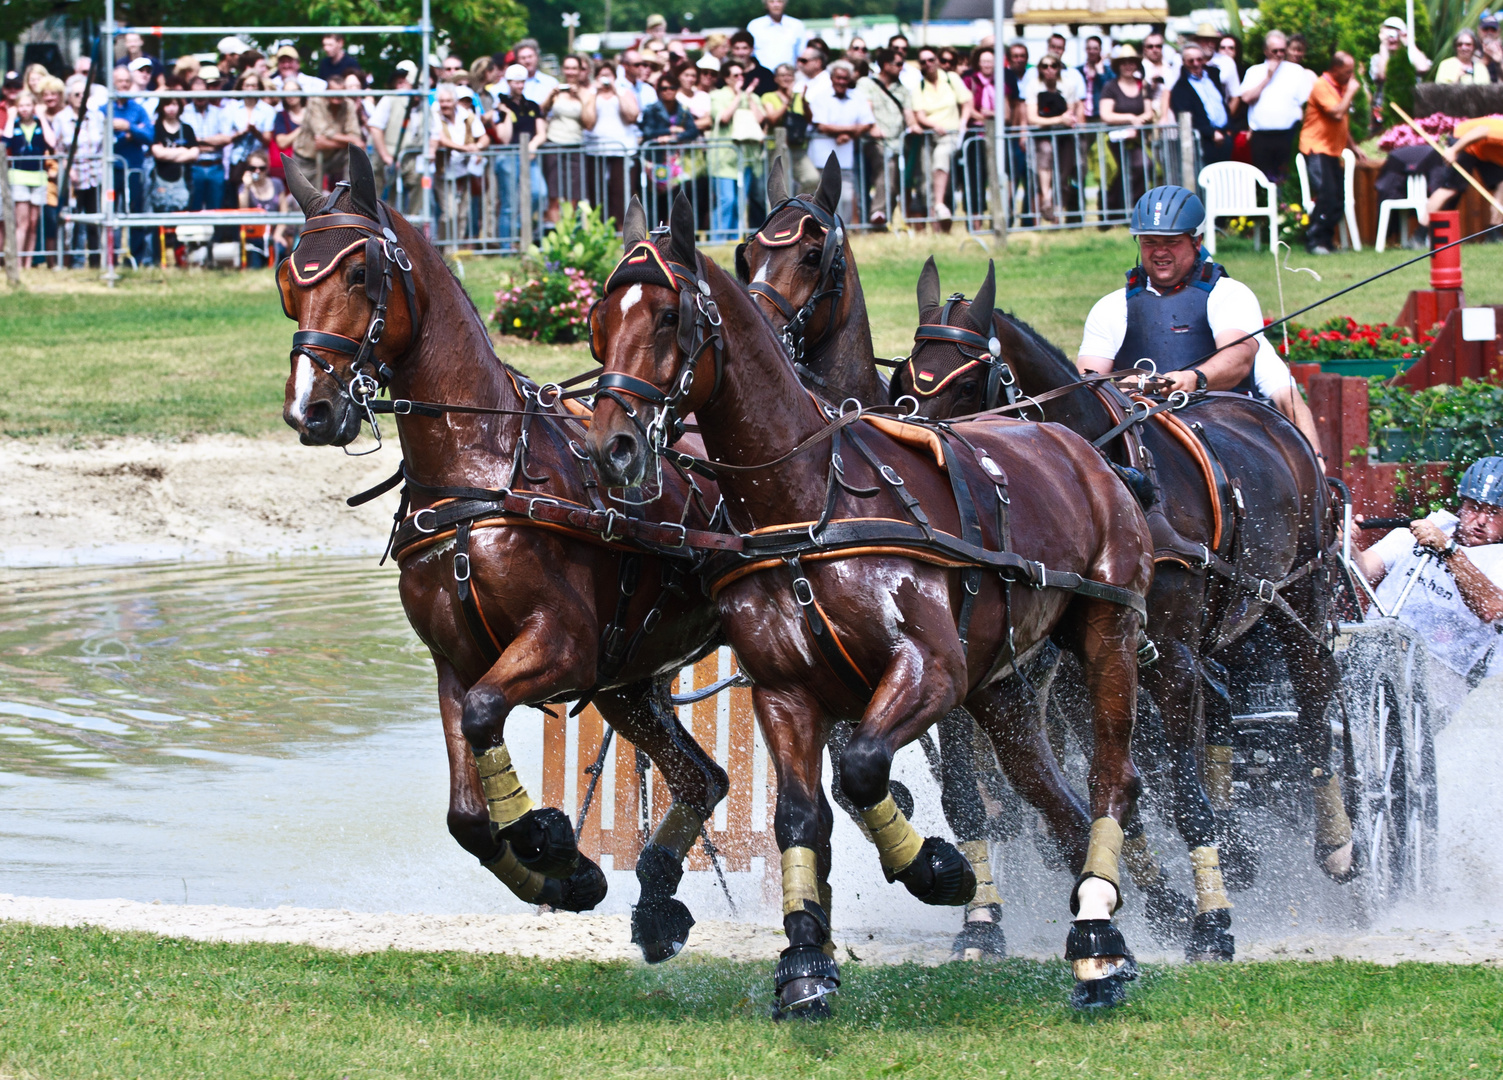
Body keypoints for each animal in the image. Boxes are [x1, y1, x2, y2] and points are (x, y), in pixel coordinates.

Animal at [279, 145, 736, 961]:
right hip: (628, 682)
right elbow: (466, 811)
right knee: (702, 779)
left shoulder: (562, 644)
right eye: (286, 280)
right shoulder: (455, 660)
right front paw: (566, 876)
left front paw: (547, 839)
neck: (482, 472)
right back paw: (657, 907)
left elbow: (488, 712)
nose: (311, 409)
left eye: (361, 273)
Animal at [583, 192, 1148, 1015]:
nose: (612, 447)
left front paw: (938, 869)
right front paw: (804, 966)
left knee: (1110, 778)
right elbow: (801, 817)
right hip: (1001, 687)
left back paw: (1102, 941)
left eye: (668, 318)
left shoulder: (930, 671)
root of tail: (1085, 450)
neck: (810, 501)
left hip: (1106, 636)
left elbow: (861, 769)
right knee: (1055, 804)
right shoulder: (785, 690)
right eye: (600, 321)